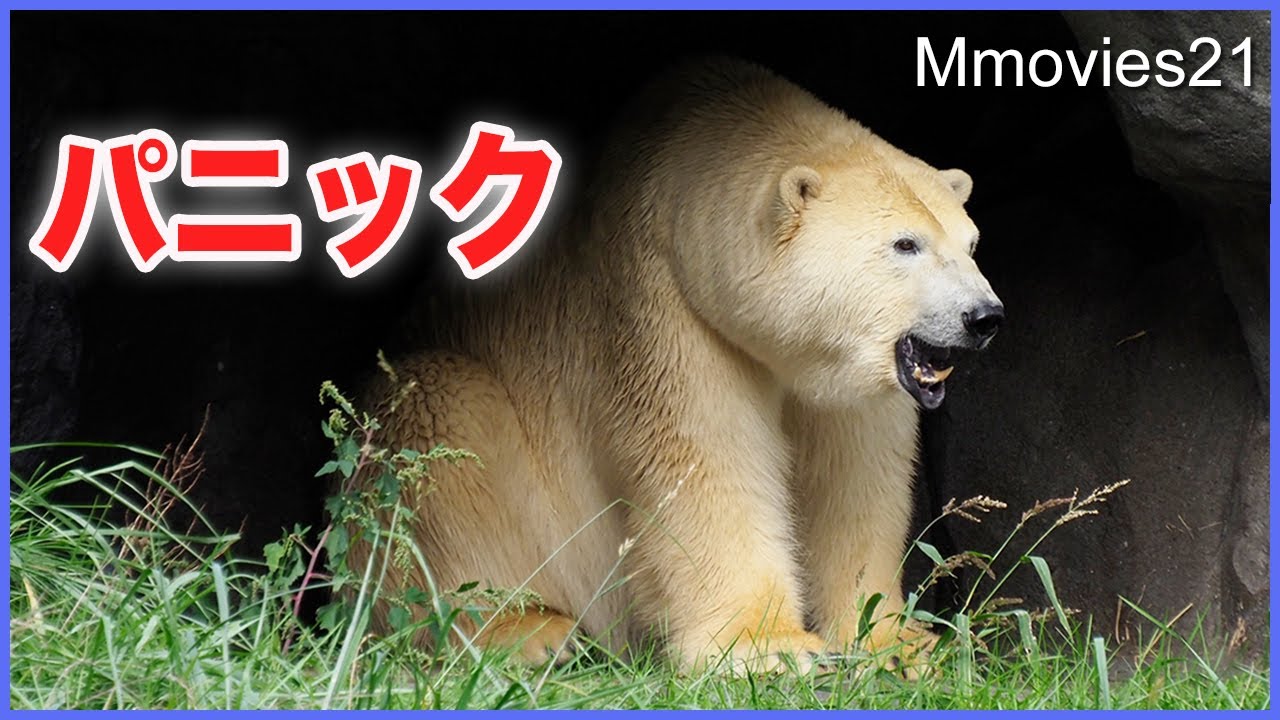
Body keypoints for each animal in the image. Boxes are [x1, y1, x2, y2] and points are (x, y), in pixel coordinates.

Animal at [345, 56, 1004, 674]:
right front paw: (768, 649)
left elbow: (856, 472)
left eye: (971, 243)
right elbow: (702, 453)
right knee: (440, 425)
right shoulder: (657, 297)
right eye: (905, 244)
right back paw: (529, 632)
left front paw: (901, 643)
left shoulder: (849, 374)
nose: (984, 316)